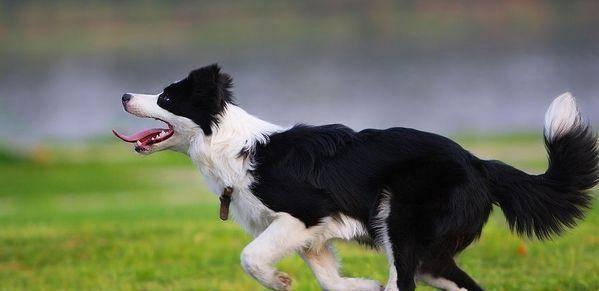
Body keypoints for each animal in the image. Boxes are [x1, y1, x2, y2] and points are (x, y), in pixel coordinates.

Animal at [115, 64, 596, 291]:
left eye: (166, 97)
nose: (123, 95)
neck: (230, 147)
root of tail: (480, 163)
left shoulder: (305, 212)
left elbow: (250, 256)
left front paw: (279, 281)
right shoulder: (312, 236)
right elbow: (328, 279)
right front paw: (360, 285)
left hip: (400, 225)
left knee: (403, 283)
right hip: (432, 255)